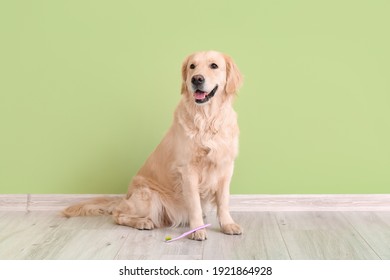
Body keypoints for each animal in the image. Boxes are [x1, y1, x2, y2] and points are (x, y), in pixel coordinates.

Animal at [62, 50, 242, 241]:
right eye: (192, 66)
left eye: (214, 65)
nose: (196, 79)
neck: (206, 119)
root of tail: (126, 196)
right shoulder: (188, 169)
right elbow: (194, 204)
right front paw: (197, 230)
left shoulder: (226, 166)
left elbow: (224, 201)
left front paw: (228, 224)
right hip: (148, 197)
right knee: (118, 214)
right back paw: (143, 222)